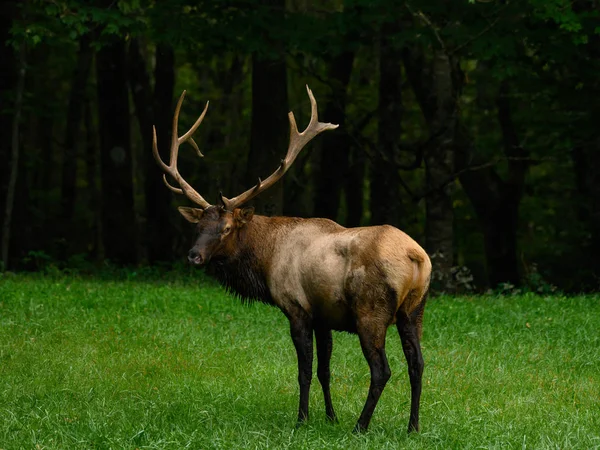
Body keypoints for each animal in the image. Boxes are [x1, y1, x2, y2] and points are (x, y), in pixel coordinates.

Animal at [150, 84, 432, 432]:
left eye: (226, 228)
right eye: (198, 226)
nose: (194, 256)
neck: (266, 258)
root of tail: (416, 257)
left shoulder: (297, 308)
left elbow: (304, 371)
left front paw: (302, 419)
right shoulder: (324, 315)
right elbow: (325, 370)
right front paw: (330, 416)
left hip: (372, 311)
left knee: (382, 369)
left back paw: (361, 426)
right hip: (414, 309)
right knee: (417, 363)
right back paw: (412, 427)